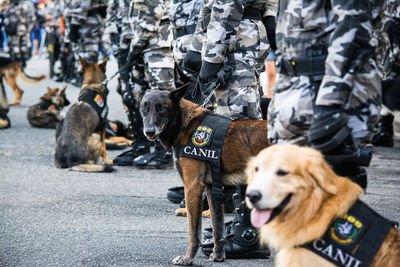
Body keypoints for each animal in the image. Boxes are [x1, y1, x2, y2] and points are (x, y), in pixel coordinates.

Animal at [139, 86, 270, 266]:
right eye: (144, 108)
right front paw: (218, 256)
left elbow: (193, 231)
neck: (186, 124)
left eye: (162, 108)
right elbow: (217, 227)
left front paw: (188, 258)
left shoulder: (192, 187)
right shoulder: (211, 188)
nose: (149, 131)